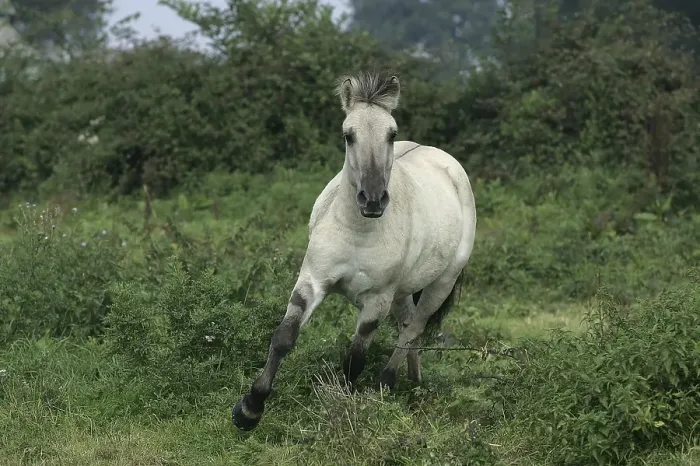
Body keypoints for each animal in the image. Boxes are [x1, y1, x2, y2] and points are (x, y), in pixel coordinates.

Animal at [232, 71, 477, 431]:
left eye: (391, 134)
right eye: (348, 135)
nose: (372, 199)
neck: (358, 231)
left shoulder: (376, 300)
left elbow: (355, 358)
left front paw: (343, 410)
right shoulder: (312, 280)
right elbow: (284, 337)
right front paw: (249, 409)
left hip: (440, 283)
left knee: (413, 329)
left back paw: (386, 384)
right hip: (403, 291)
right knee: (407, 326)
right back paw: (414, 383)